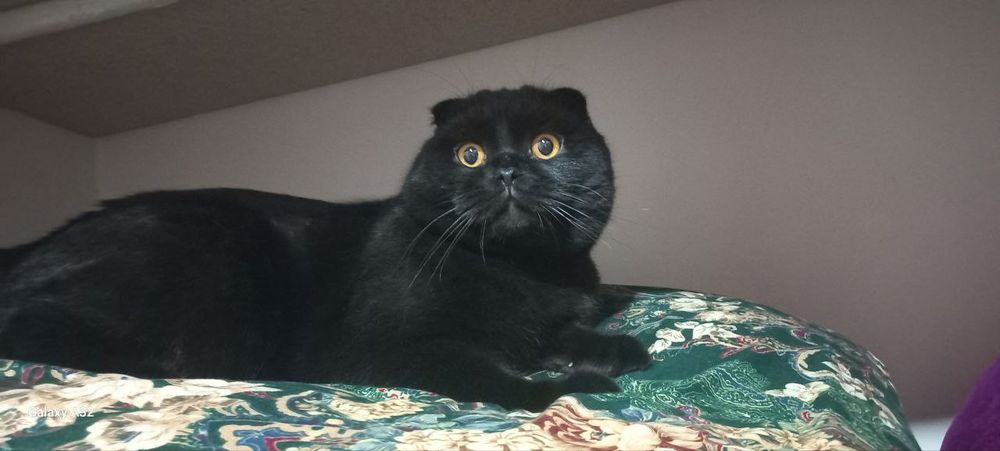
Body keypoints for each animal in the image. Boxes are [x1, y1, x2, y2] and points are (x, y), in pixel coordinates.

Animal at [0, 86, 651, 411]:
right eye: (469, 155)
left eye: (546, 145)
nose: (507, 169)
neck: (521, 270)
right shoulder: (385, 345)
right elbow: (488, 374)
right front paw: (566, 387)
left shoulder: (548, 316)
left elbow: (565, 334)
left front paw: (614, 349)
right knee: (30, 325)